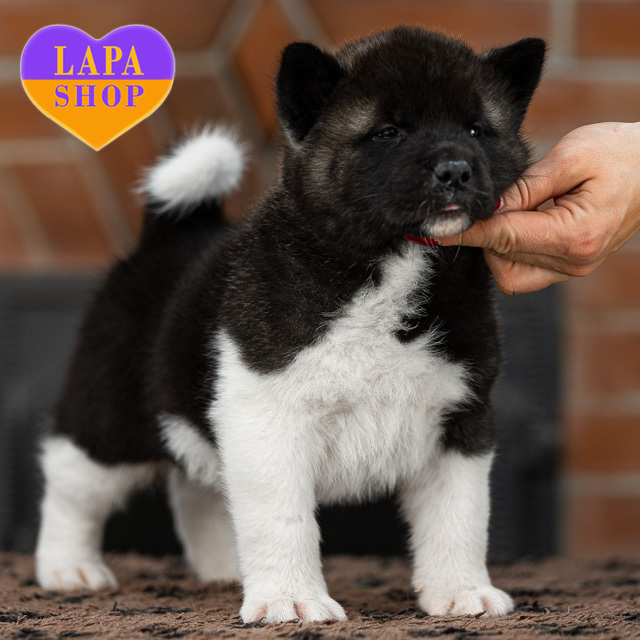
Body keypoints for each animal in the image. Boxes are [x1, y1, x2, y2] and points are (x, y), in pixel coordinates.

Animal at [35, 26, 545, 622]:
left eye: (476, 130)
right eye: (388, 132)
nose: (456, 171)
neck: (390, 258)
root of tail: (170, 235)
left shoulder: (461, 421)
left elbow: (460, 515)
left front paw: (462, 591)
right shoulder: (267, 418)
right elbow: (282, 519)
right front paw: (291, 599)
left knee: (199, 491)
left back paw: (224, 569)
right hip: (107, 417)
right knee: (72, 488)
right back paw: (67, 568)